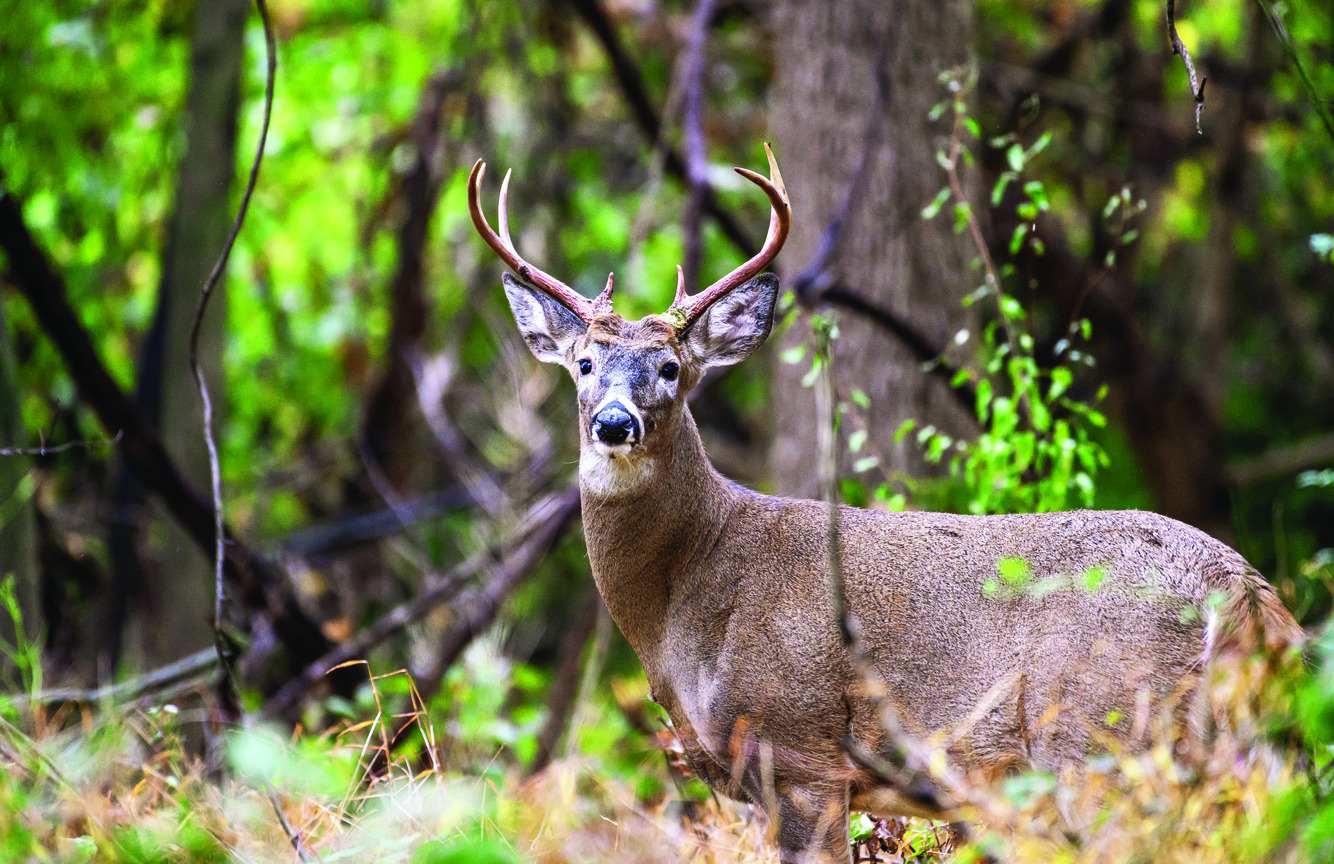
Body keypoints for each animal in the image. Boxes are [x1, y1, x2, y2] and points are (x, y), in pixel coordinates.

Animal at [466, 145, 1302, 863]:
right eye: (583, 364)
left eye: (671, 367)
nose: (615, 424)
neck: (688, 597)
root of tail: (1245, 592)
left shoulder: (802, 749)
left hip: (1104, 730)